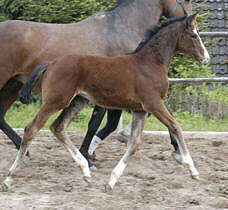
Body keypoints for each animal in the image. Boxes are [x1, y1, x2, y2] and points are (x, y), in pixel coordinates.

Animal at [0, 14, 210, 192]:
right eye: (193, 34)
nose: (205, 58)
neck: (149, 63)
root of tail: (50, 63)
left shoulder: (140, 110)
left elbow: (134, 144)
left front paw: (111, 181)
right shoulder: (153, 104)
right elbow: (175, 127)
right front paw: (193, 170)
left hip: (77, 101)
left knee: (57, 127)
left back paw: (85, 171)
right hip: (55, 101)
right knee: (32, 129)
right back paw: (10, 178)